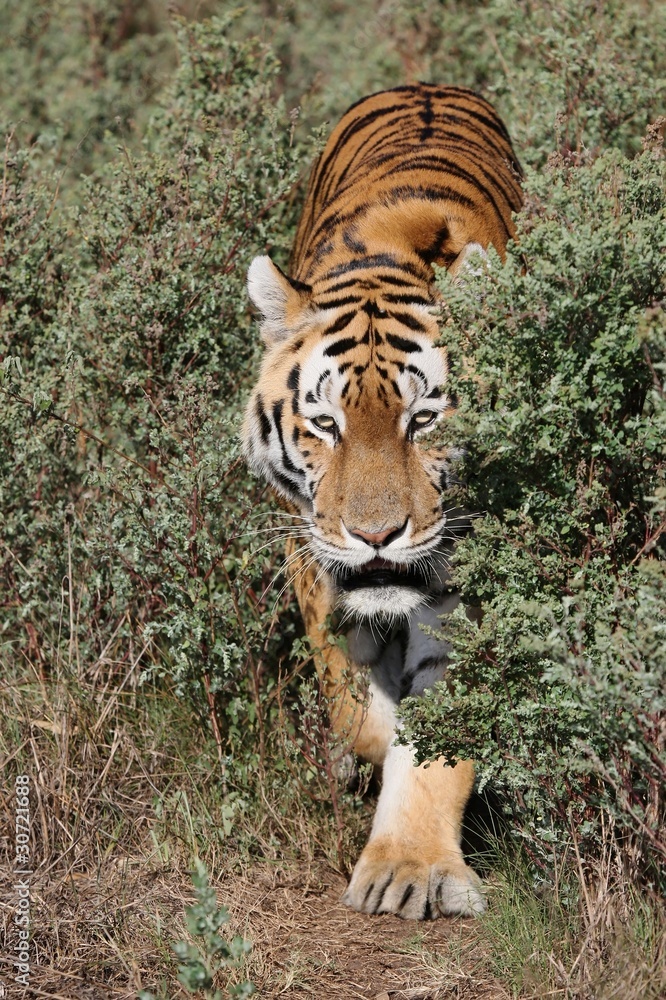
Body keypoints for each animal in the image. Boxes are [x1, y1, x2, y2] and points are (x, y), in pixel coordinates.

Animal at [243, 83, 522, 920]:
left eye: (422, 419)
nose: (375, 536)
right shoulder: (307, 541)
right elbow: (353, 699)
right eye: (326, 424)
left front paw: (408, 871)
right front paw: (366, 739)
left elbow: (439, 730)